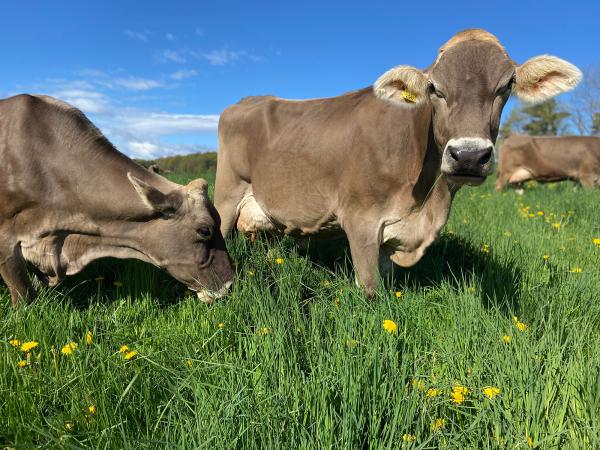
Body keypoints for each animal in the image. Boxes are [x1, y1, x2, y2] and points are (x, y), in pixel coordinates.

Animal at [213, 28, 580, 296]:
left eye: (507, 85)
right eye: (434, 88)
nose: (469, 156)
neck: (424, 204)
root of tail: (248, 100)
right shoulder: (360, 220)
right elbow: (371, 289)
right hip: (228, 194)